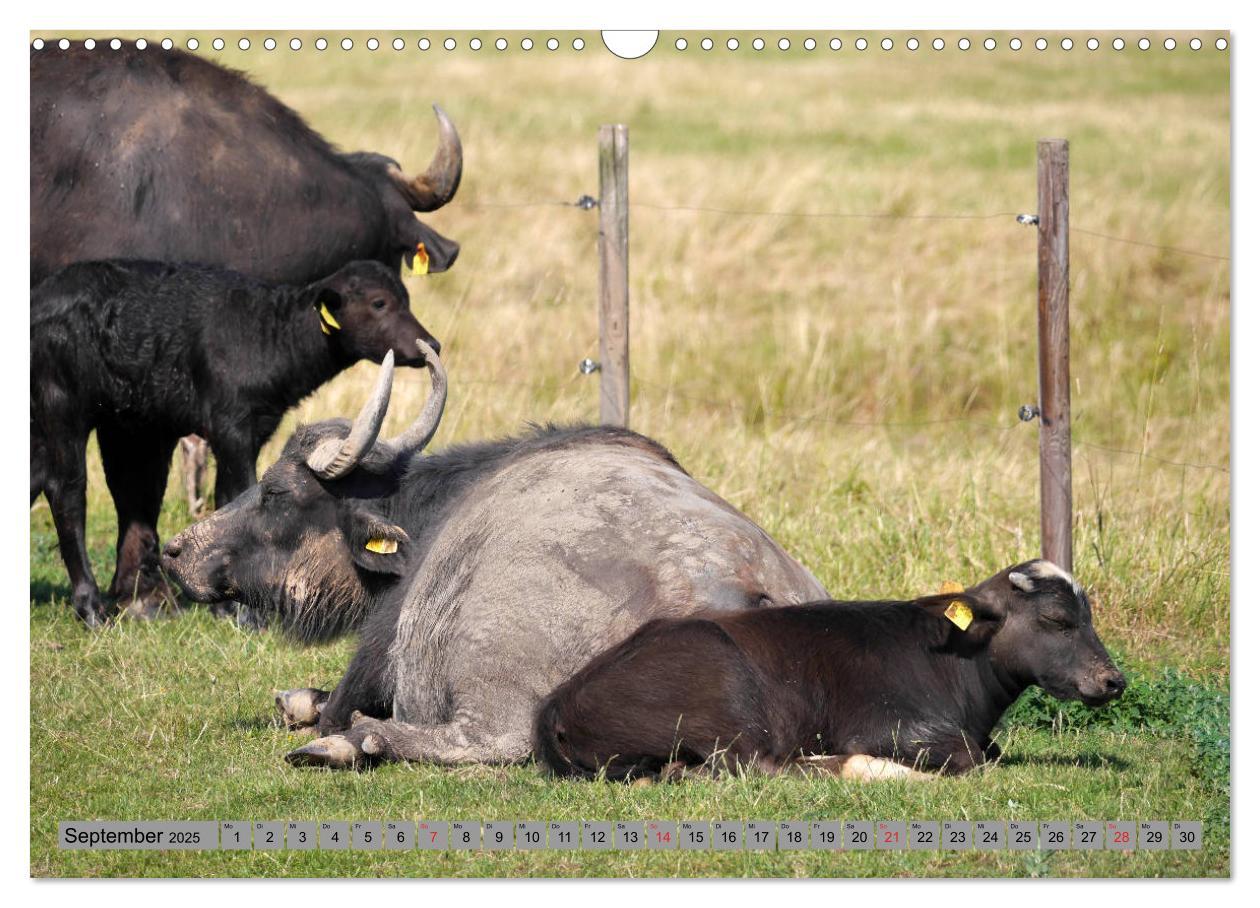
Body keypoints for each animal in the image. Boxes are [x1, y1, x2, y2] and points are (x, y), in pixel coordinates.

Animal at [31, 254, 441, 624]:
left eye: (405, 297)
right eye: (379, 302)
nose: (429, 343)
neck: (268, 335)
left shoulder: (253, 429)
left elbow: (228, 496)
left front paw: (228, 606)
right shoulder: (231, 429)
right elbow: (238, 492)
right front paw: (244, 613)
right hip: (62, 409)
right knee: (67, 492)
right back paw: (91, 608)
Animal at [160, 347, 826, 765]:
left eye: (275, 492)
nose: (175, 551)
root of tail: (742, 590)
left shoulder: (376, 654)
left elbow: (333, 704)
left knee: (489, 740)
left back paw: (359, 743)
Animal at [536, 559, 1128, 780]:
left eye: (1089, 616)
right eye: (1057, 620)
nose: (1113, 680)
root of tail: (559, 703)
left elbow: (993, 752)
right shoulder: (893, 728)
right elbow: (972, 759)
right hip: (733, 704)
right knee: (759, 766)